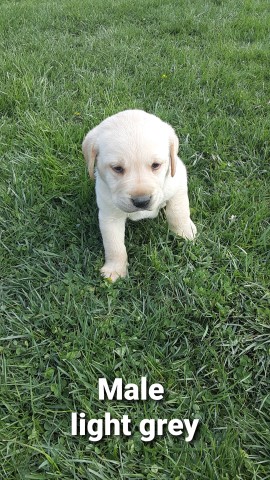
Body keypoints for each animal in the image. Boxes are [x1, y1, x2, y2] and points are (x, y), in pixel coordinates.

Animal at [82, 109, 196, 282]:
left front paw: (184, 233)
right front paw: (115, 269)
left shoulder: (178, 181)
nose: (141, 201)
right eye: (117, 168)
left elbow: (178, 212)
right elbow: (114, 244)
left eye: (156, 165)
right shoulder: (109, 214)